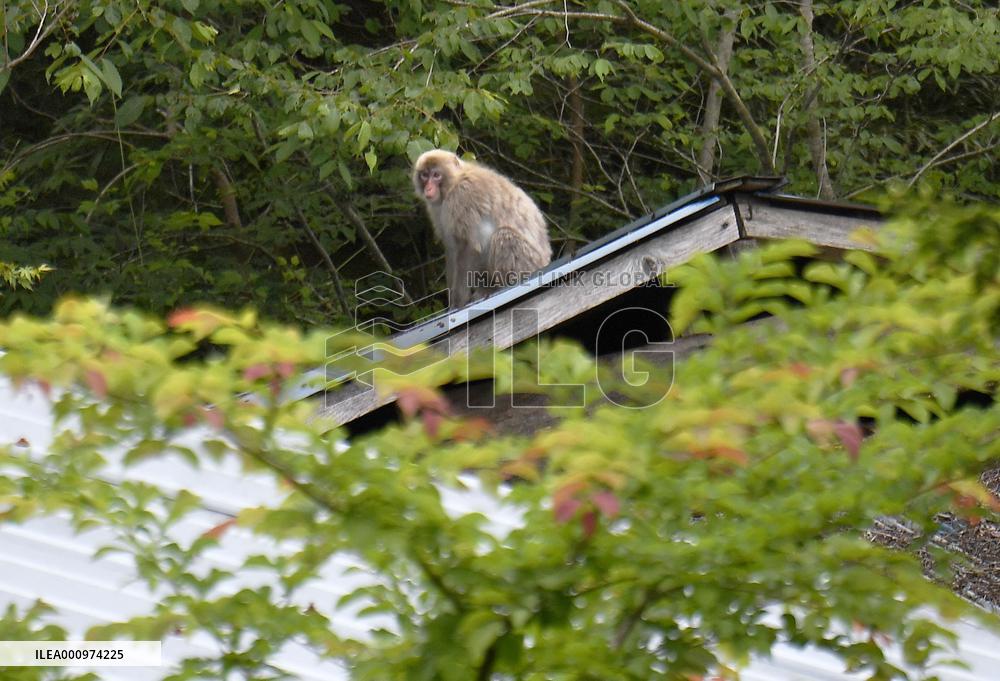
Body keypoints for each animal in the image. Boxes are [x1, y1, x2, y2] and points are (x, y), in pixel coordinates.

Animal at [413, 149, 552, 309]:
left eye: (436, 175)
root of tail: (545, 261)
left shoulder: (462, 195)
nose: (428, 188)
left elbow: (467, 246)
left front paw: (458, 304)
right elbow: (452, 248)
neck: (453, 183)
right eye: (424, 175)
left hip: (530, 262)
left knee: (503, 236)